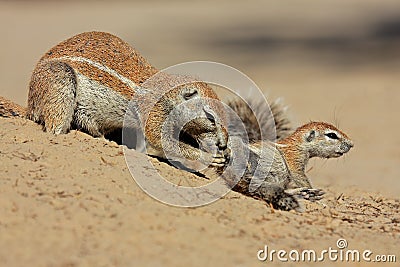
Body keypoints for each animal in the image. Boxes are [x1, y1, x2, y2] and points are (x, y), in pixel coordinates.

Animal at [25, 31, 228, 165]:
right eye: (211, 119)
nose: (224, 144)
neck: (169, 95)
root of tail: (30, 105)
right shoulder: (153, 111)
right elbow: (162, 140)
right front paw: (209, 157)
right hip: (62, 79)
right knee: (55, 127)